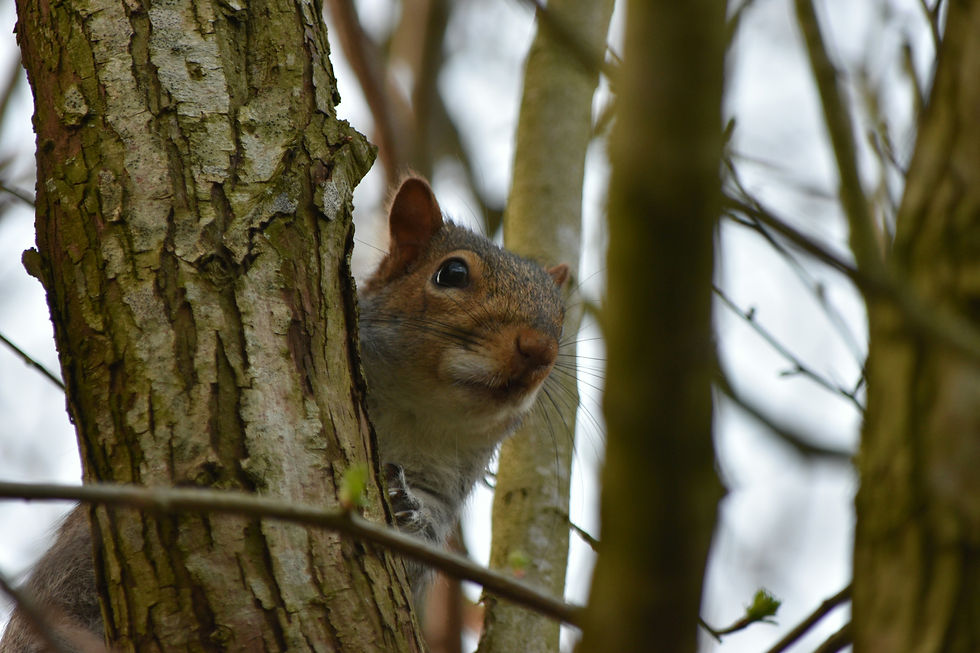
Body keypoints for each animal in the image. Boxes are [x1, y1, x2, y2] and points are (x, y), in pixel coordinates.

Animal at [0, 176, 567, 650]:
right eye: (451, 273)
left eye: (562, 316)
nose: (539, 349)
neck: (418, 413)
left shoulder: (442, 482)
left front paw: (408, 510)